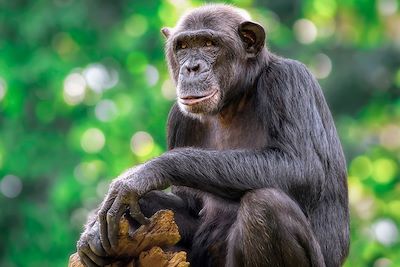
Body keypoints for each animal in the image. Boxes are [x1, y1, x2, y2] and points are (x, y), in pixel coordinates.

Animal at [76, 3, 348, 267]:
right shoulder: (179, 119)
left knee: (266, 205)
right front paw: (96, 228)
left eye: (209, 44)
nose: (191, 67)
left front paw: (140, 176)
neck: (233, 101)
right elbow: (190, 208)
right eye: (183, 46)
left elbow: (302, 167)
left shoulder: (288, 79)